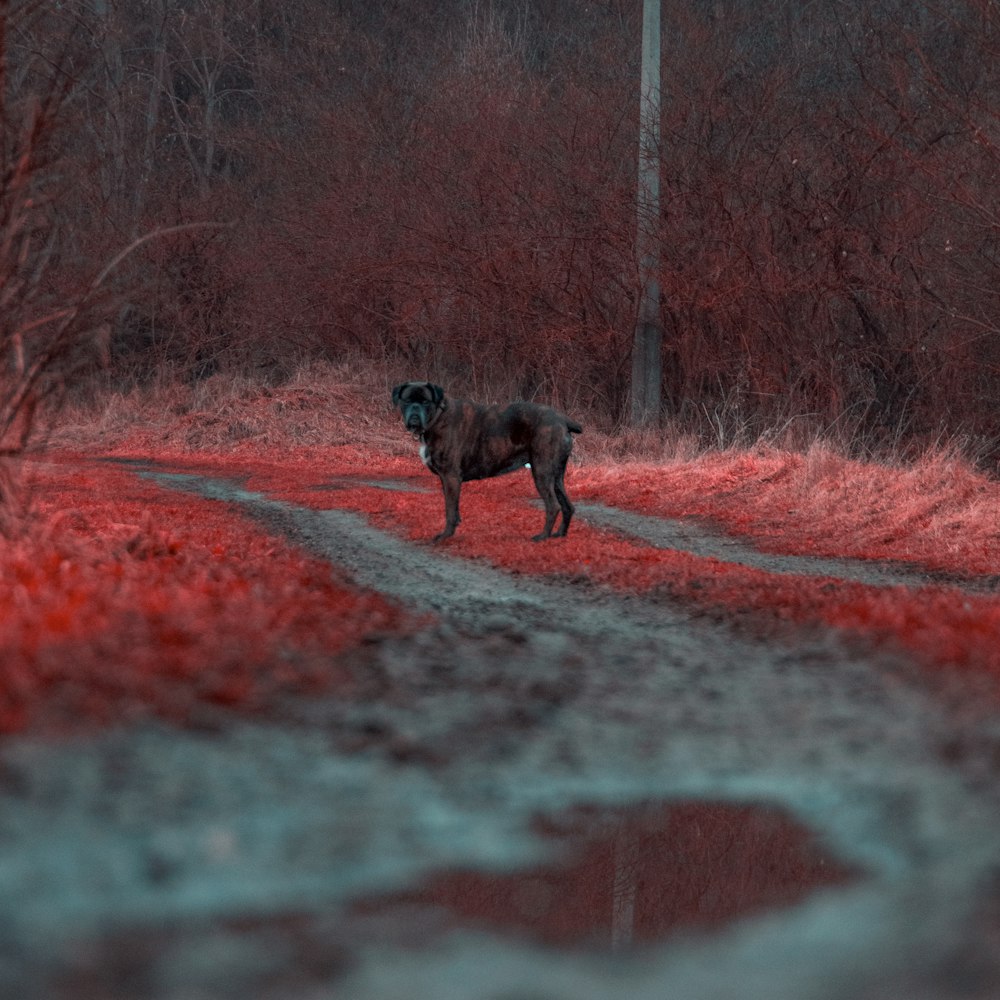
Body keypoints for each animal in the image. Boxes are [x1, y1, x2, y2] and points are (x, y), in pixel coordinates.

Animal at [388, 380, 584, 540]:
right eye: (407, 401)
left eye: (425, 402)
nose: (414, 414)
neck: (437, 417)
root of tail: (562, 419)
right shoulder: (448, 480)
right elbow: (454, 509)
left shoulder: (450, 476)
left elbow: (450, 509)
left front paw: (445, 536)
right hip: (556, 476)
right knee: (567, 506)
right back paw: (559, 534)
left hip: (542, 472)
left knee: (553, 505)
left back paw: (543, 536)